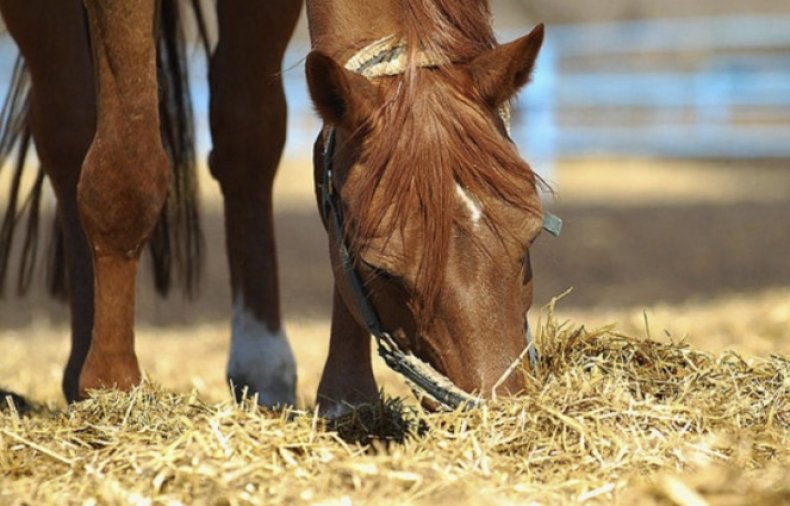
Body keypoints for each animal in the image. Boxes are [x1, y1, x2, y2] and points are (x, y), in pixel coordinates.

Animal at [1, 0, 552, 416]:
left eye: (531, 236)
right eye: (381, 269)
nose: (501, 407)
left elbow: (262, 139)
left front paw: (346, 397)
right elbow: (125, 172)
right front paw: (113, 386)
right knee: (68, 131)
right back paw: (83, 367)